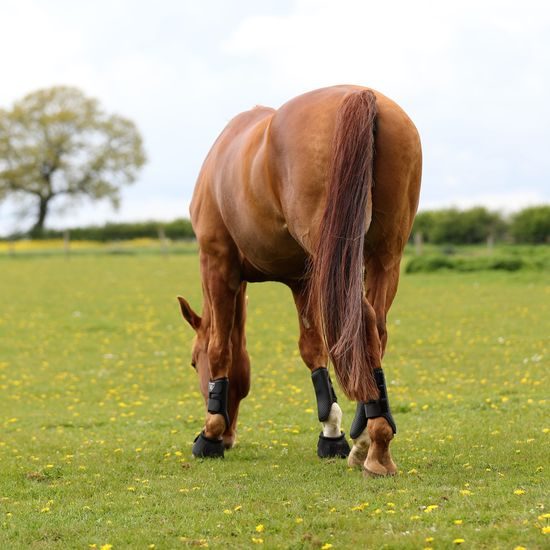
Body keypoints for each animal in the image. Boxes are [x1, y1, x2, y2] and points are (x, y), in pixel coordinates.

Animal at [177, 84, 422, 476]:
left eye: (192, 361)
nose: (229, 436)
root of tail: (361, 94)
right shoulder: (301, 280)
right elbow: (312, 350)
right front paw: (332, 435)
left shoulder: (216, 262)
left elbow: (220, 347)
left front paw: (210, 433)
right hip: (384, 258)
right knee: (376, 331)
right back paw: (366, 439)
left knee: (364, 326)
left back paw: (377, 450)